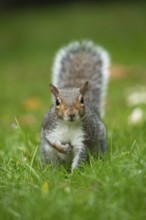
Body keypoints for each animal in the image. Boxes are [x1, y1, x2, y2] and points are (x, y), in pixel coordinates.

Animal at [40, 40, 110, 170]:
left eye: (82, 100)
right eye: (57, 102)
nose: (71, 114)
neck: (69, 125)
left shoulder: (83, 139)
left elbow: (79, 158)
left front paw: (75, 174)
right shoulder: (49, 127)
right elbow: (51, 139)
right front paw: (62, 148)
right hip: (47, 152)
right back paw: (53, 171)